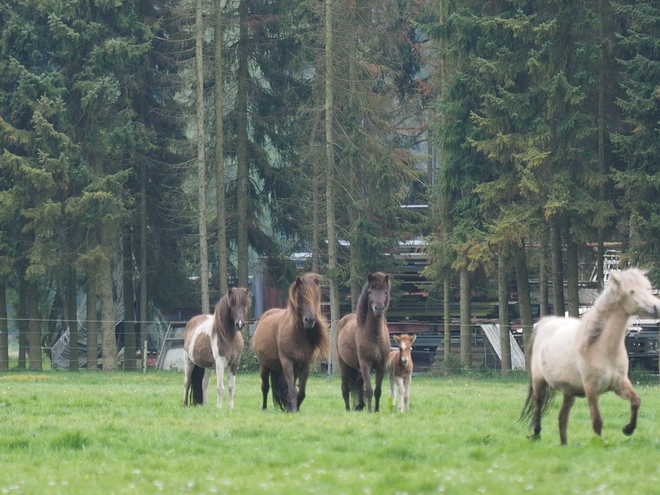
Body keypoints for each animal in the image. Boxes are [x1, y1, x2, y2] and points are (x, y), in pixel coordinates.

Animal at [251, 274, 328, 412]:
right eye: (300, 297)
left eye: (316, 297)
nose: (310, 320)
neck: (298, 337)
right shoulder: (287, 362)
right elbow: (291, 389)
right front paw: (293, 410)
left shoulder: (306, 365)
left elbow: (301, 391)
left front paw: (295, 407)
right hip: (264, 366)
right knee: (265, 387)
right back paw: (264, 408)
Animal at [338, 274, 390, 412]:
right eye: (370, 292)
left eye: (385, 292)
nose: (379, 309)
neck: (376, 336)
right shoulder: (365, 363)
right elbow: (369, 390)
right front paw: (370, 411)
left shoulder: (382, 366)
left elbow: (377, 391)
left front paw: (376, 410)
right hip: (344, 365)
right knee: (345, 388)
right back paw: (348, 409)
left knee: (359, 383)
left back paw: (360, 405)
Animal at [520, 270, 660, 448]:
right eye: (631, 291)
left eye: (647, 289)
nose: (656, 307)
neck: (603, 349)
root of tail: (545, 323)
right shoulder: (591, 389)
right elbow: (597, 422)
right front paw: (602, 444)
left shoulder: (620, 384)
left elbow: (636, 401)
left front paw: (628, 429)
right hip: (539, 382)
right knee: (538, 406)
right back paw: (536, 435)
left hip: (569, 391)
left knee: (562, 417)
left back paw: (564, 445)